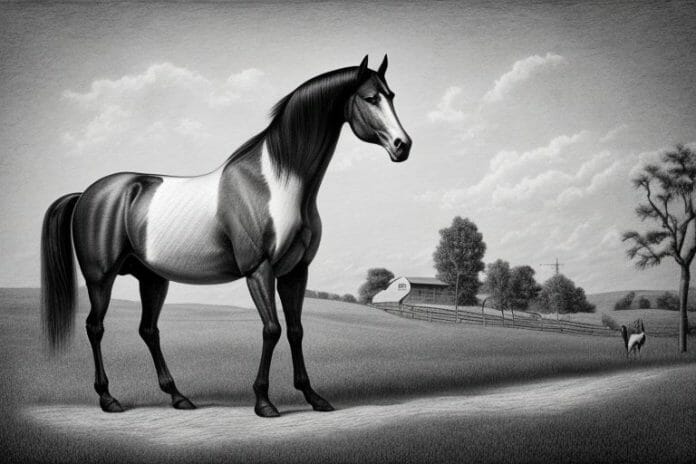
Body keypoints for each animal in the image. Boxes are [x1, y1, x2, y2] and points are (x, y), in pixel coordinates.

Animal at [40, 55, 411, 417]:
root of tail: (88, 193)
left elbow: (295, 330)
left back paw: (178, 397)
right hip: (100, 279)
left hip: (153, 279)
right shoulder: (259, 270)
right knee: (95, 328)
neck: (277, 185)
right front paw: (264, 402)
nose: (403, 146)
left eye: (392, 96)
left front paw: (314, 397)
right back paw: (108, 399)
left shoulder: (296, 271)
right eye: (370, 98)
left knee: (148, 330)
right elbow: (272, 329)